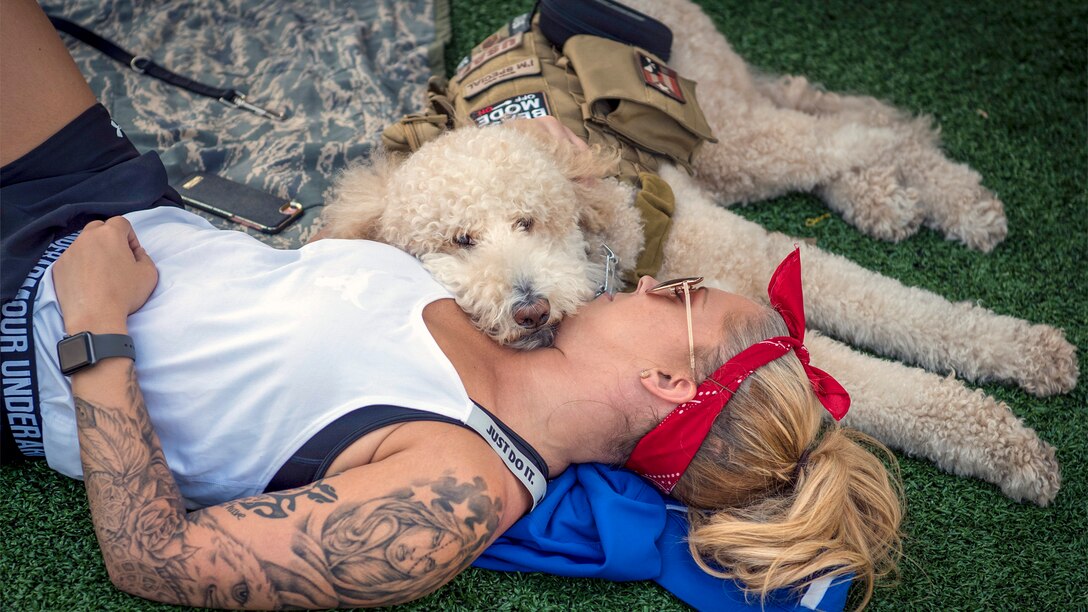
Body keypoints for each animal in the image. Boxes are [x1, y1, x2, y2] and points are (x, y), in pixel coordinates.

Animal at [317, 1, 1074, 505]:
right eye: (458, 241)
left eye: (529, 221)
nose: (529, 309)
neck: (604, 243)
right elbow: (885, 377)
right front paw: (1010, 436)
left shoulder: (752, 257)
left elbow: (903, 312)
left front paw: (1026, 376)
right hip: (731, 138)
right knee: (825, 108)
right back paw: (887, 198)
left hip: (724, 134)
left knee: (867, 125)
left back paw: (953, 198)